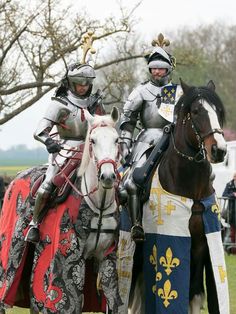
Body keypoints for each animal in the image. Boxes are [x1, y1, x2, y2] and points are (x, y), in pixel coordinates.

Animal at [119, 80, 230, 314]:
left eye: (217, 111)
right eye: (196, 111)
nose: (219, 150)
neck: (192, 190)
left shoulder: (202, 245)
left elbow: (194, 296)